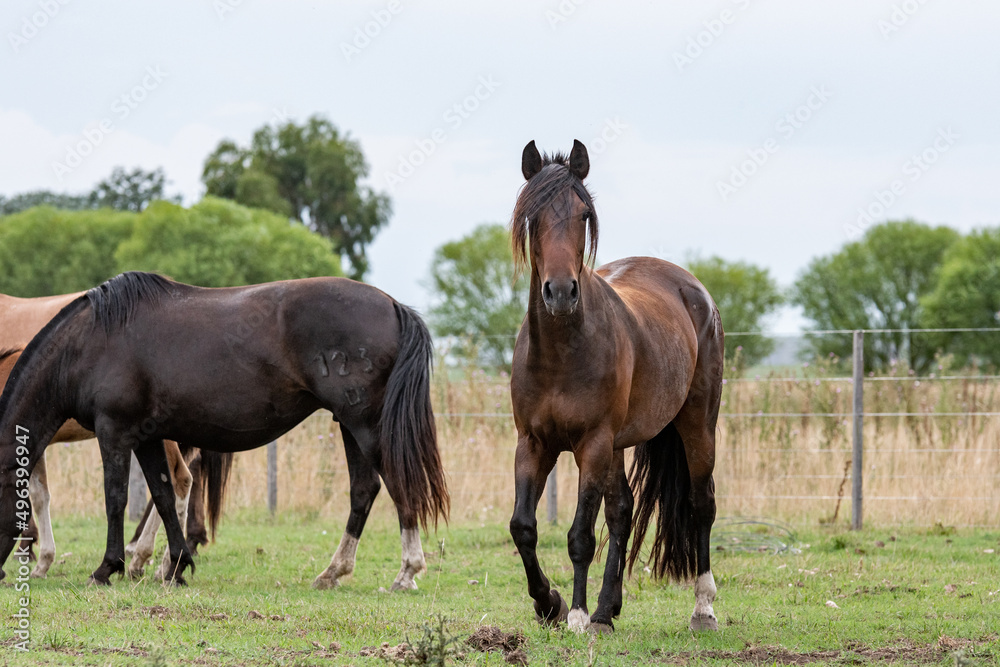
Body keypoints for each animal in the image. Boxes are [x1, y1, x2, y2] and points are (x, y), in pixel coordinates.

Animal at [0, 268, 448, 588]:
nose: (1, 574)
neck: (92, 341)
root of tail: (392, 305)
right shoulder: (147, 438)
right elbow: (163, 496)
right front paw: (177, 565)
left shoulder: (115, 433)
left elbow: (116, 499)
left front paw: (107, 568)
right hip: (349, 425)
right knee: (364, 490)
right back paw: (333, 572)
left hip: (365, 424)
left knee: (397, 483)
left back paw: (407, 571)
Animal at [508, 140, 720, 632]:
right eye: (532, 215)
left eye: (584, 214)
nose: (560, 292)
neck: (561, 353)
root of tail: (693, 289)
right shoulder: (533, 444)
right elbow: (524, 528)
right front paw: (549, 604)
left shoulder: (592, 444)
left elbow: (580, 535)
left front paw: (576, 614)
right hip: (619, 445)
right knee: (622, 511)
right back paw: (608, 609)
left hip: (697, 425)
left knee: (702, 504)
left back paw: (702, 609)